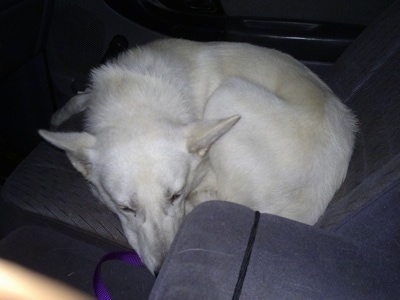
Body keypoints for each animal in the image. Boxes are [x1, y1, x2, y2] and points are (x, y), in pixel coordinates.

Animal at [38, 38, 356, 274]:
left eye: (175, 196)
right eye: (125, 208)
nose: (163, 270)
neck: (134, 101)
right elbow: (80, 96)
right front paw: (58, 116)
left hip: (229, 92)